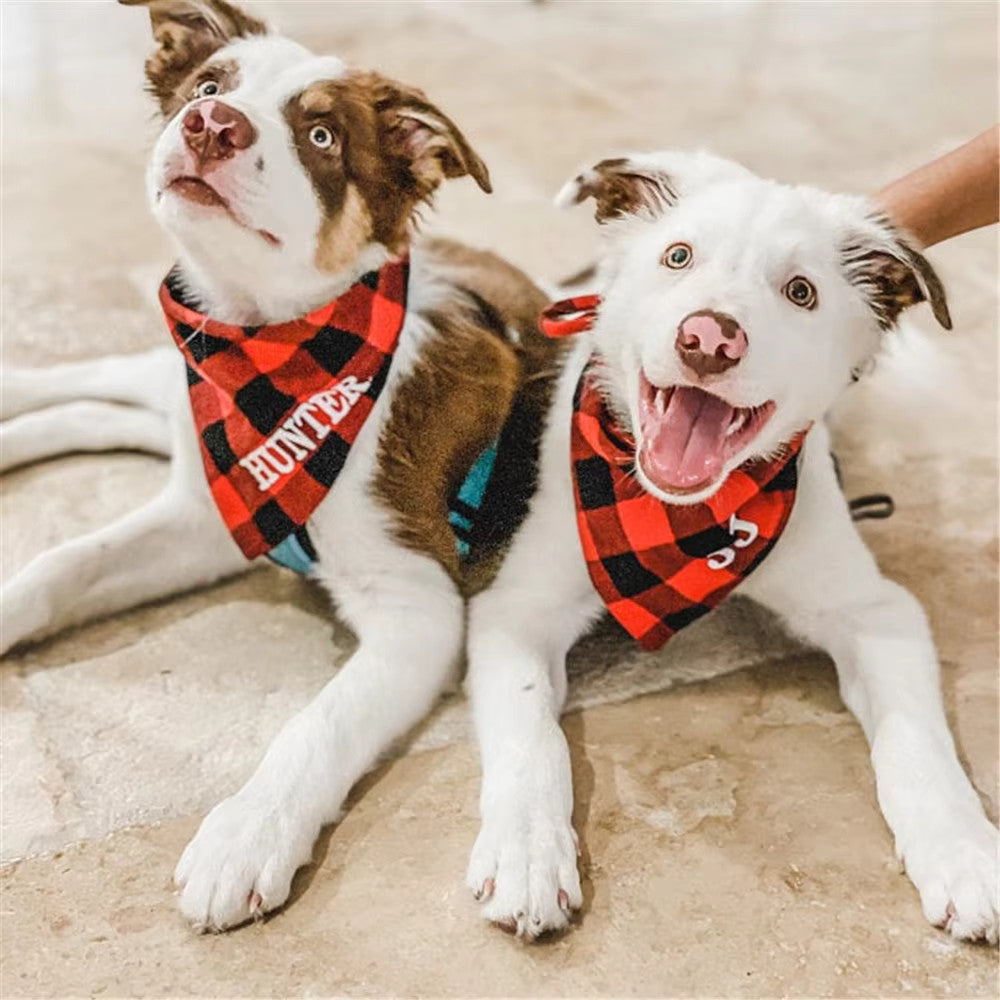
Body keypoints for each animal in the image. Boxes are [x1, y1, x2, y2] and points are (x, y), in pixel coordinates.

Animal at [0, 0, 564, 932]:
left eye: (324, 136)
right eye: (207, 87)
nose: (211, 127)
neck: (268, 346)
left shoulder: (414, 603)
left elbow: (318, 723)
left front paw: (246, 834)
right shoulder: (217, 503)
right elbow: (64, 563)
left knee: (115, 410)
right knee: (106, 379)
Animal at [462, 150, 1000, 944]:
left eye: (802, 292)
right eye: (678, 256)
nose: (709, 341)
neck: (683, 522)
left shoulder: (878, 611)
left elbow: (915, 738)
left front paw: (963, 852)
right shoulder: (515, 607)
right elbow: (530, 731)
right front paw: (526, 852)